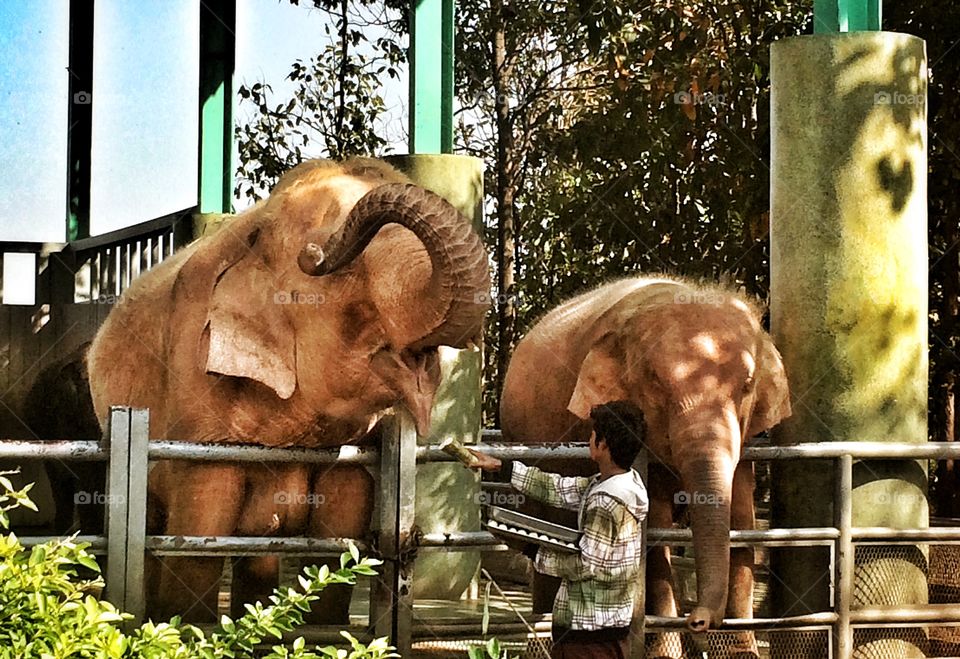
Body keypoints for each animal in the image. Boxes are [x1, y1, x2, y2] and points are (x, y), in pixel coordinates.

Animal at [86, 157, 491, 622]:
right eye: (342, 270)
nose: (314, 256)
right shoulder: (194, 395)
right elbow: (197, 544)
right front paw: (182, 624)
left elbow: (340, 539)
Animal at [500, 276, 791, 658]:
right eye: (655, 382)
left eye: (747, 385)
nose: (698, 621)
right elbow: (655, 527)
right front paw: (668, 654)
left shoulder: (748, 439)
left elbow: (742, 522)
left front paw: (740, 654)